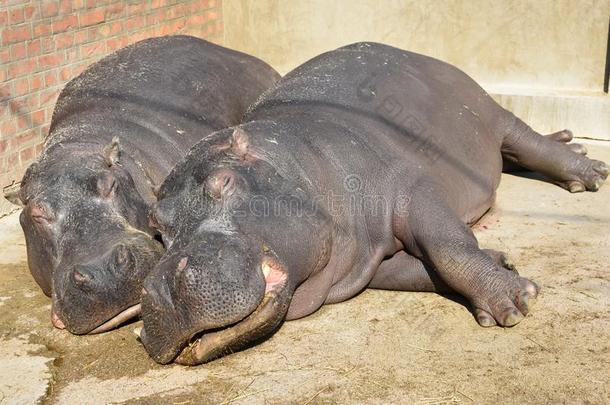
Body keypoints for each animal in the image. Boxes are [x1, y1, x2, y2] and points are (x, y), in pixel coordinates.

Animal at [135, 41, 604, 362]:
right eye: (157, 227)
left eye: (224, 181)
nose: (163, 288)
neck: (300, 162)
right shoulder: (365, 260)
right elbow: (421, 271)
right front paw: (503, 263)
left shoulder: (409, 188)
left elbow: (448, 249)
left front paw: (517, 300)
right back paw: (573, 144)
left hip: (489, 112)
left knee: (530, 142)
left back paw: (590, 171)